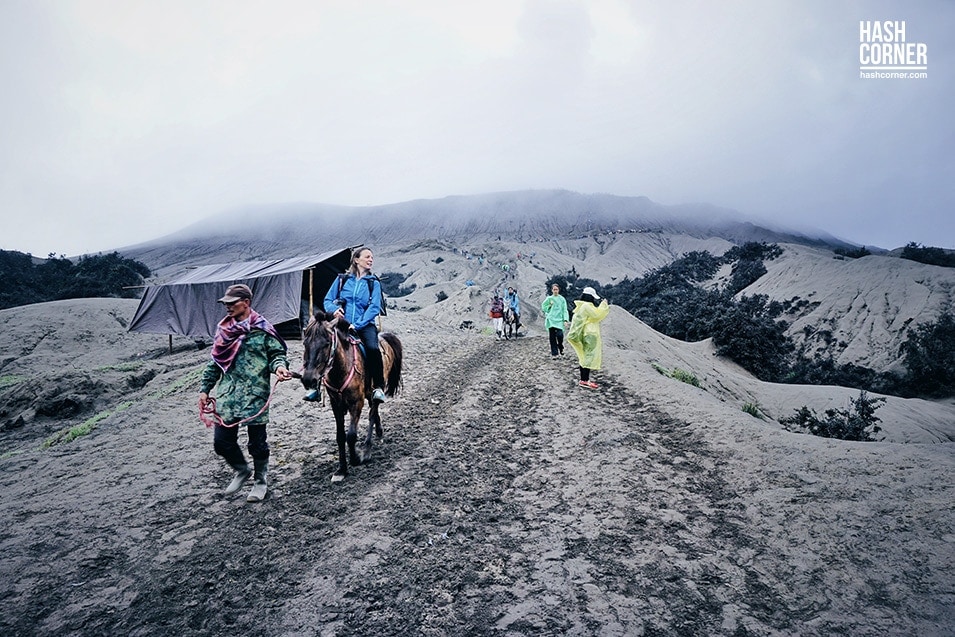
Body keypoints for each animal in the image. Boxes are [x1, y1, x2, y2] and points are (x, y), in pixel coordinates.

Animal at [300, 310, 402, 480]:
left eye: (326, 343)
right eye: (305, 343)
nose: (308, 379)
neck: (340, 370)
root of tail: (384, 337)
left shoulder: (356, 402)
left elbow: (351, 435)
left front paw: (355, 459)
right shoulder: (336, 405)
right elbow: (340, 436)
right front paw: (341, 469)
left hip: (375, 390)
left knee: (372, 414)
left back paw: (367, 450)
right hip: (369, 393)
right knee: (374, 412)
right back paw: (379, 433)